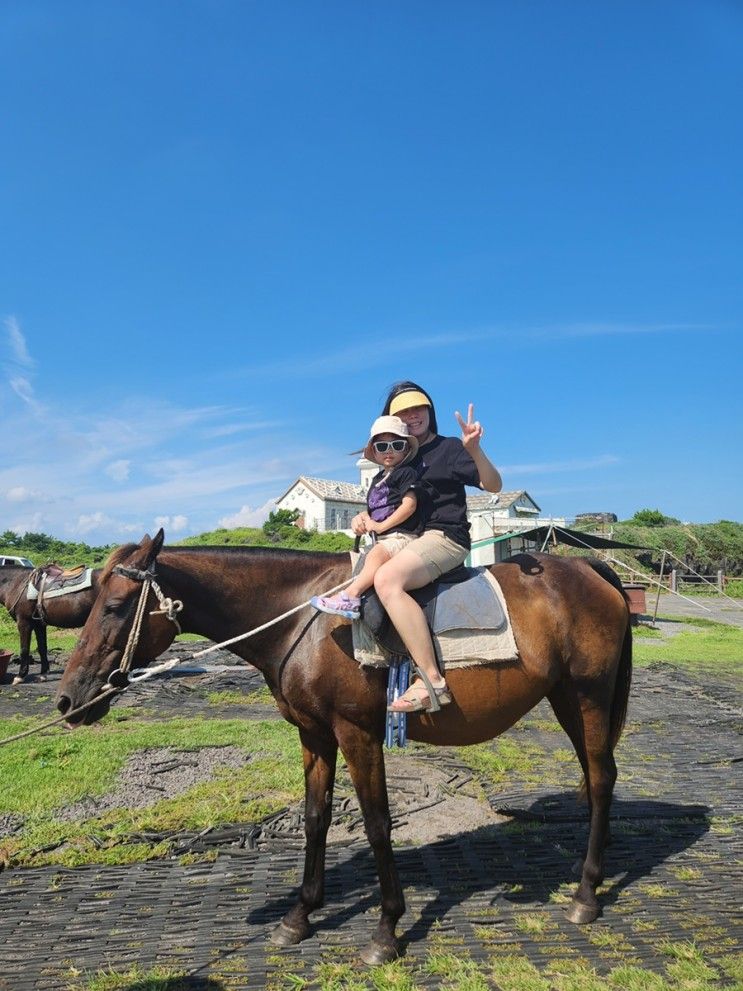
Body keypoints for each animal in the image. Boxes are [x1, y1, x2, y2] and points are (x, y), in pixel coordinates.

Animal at [56, 532, 632, 964]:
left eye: (114, 607)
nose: (68, 700)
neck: (301, 618)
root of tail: (590, 569)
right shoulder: (314, 734)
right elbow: (316, 817)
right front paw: (299, 916)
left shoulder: (357, 733)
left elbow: (377, 824)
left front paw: (386, 929)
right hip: (566, 699)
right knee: (594, 778)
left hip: (589, 697)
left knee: (602, 778)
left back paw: (586, 894)